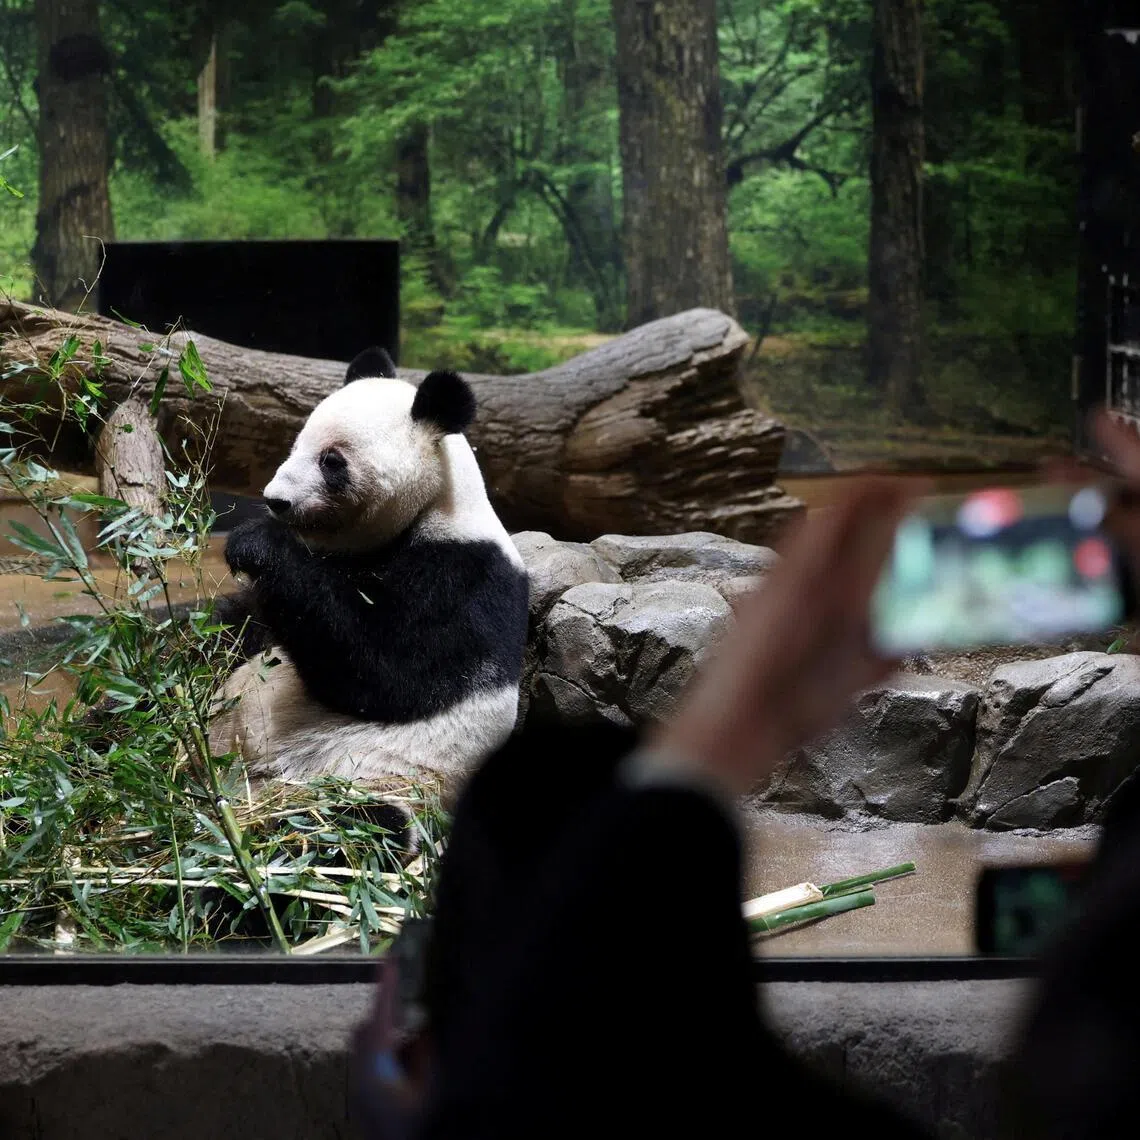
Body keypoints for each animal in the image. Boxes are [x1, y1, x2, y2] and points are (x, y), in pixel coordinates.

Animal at [207, 347, 530, 802]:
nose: (276, 500)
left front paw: (255, 542)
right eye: (295, 444)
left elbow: (388, 673)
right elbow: (242, 625)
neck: (432, 506)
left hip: (373, 780)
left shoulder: (464, 576)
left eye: (331, 461)